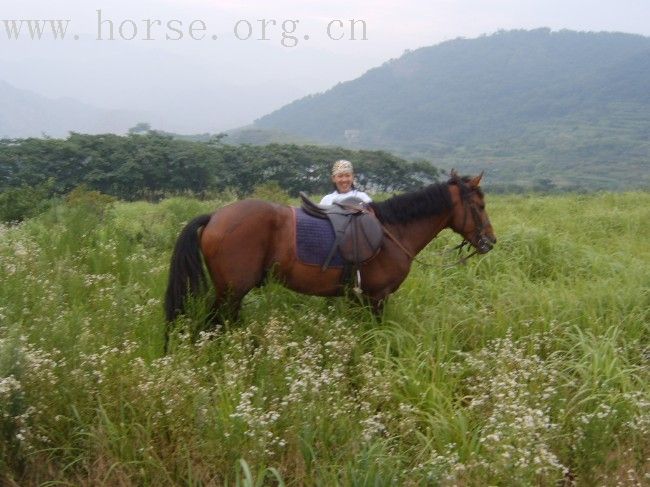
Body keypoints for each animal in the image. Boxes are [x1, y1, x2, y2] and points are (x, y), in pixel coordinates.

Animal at [165, 172, 494, 344]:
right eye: (479, 206)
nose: (490, 241)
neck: (392, 232)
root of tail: (215, 216)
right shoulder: (377, 298)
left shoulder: (360, 299)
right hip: (230, 292)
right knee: (213, 326)